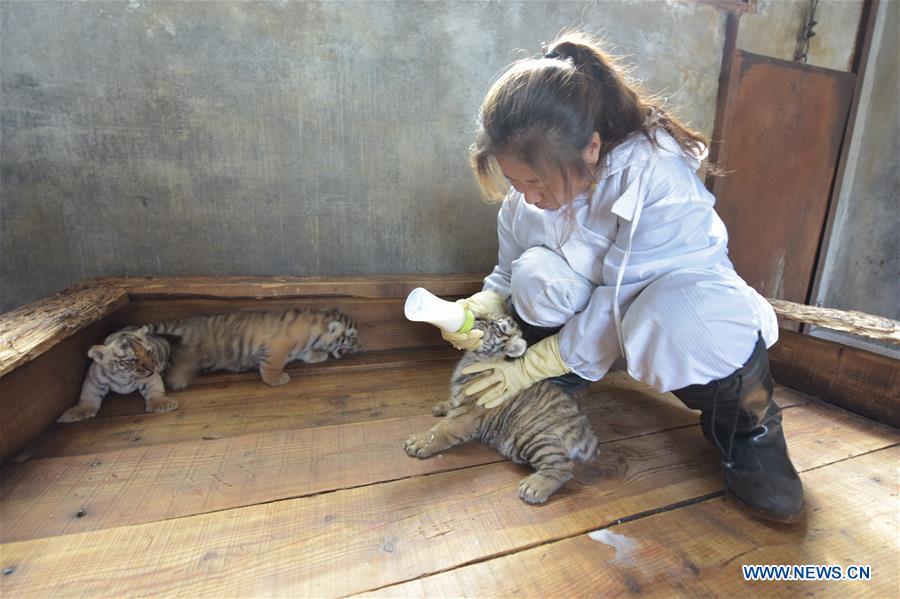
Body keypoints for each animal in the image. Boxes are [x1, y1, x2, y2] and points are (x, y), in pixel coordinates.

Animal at [147, 307, 361, 390]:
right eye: (352, 337)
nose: (361, 345)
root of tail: (189, 322)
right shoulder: (277, 347)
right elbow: (272, 366)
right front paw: (275, 379)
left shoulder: (302, 347)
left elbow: (305, 353)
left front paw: (318, 355)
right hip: (194, 350)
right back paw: (177, 380)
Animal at [404, 315, 599, 504]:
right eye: (485, 316)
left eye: (496, 326)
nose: (477, 317)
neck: (473, 359)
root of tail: (582, 426)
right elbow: (453, 401)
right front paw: (441, 406)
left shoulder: (468, 415)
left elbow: (441, 430)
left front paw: (419, 442)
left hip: (532, 436)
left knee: (564, 466)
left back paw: (534, 487)